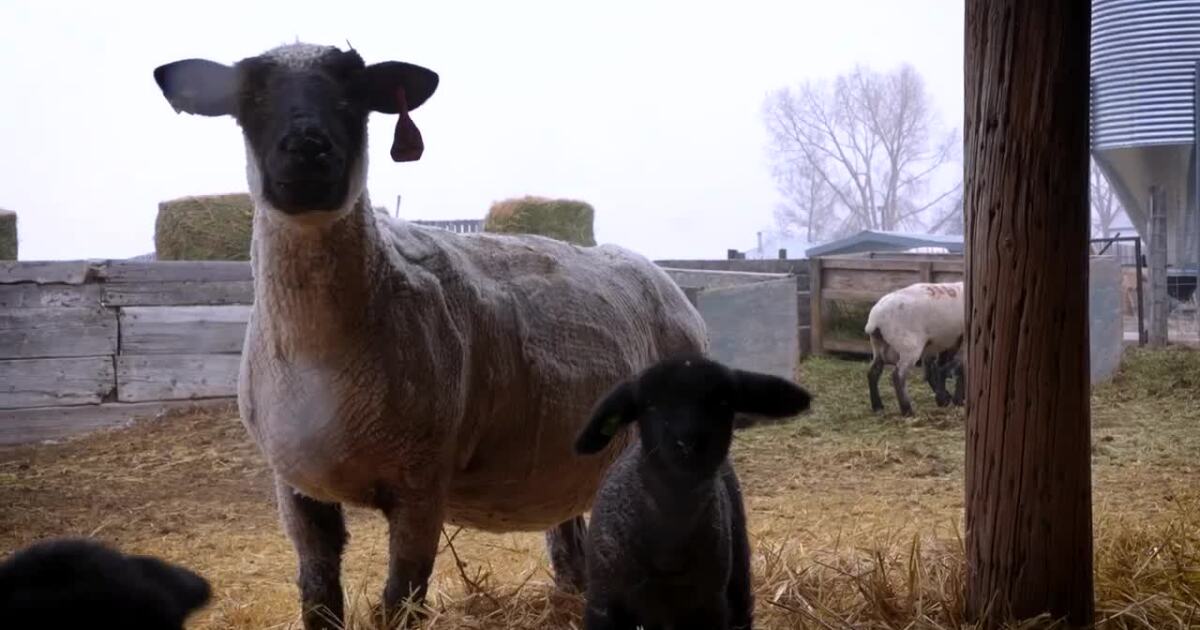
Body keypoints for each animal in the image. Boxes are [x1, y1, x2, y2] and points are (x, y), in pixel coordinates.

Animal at [152, 43, 707, 628]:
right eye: (250, 97)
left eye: (355, 93)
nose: (307, 149)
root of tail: (665, 281)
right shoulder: (298, 487)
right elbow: (319, 597)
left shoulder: (421, 482)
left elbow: (402, 599)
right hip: (572, 458)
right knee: (571, 539)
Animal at [865, 281, 965, 416]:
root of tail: (875, 321)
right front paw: (954, 399)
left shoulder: (948, 341)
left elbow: (940, 367)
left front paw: (945, 398)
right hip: (909, 347)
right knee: (898, 376)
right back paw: (907, 409)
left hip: (880, 347)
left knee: (873, 372)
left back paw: (878, 406)